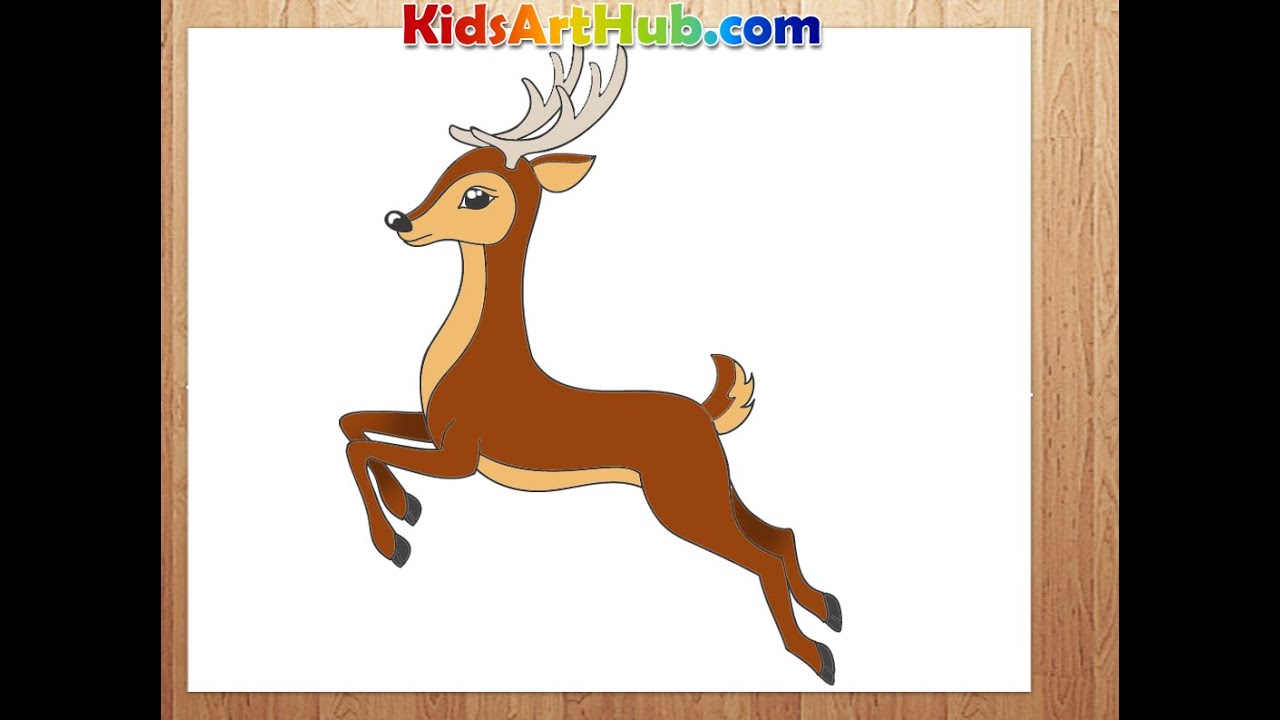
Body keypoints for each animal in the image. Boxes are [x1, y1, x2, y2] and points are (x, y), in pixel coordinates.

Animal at [339, 45, 840, 684]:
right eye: (446, 168)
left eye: (477, 194)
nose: (400, 220)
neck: (477, 361)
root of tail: (708, 415)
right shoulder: (431, 425)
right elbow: (353, 424)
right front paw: (407, 507)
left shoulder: (463, 456)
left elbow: (360, 446)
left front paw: (393, 543)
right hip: (712, 487)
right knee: (781, 534)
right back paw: (830, 608)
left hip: (682, 501)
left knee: (763, 558)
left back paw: (816, 657)